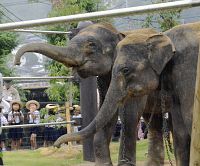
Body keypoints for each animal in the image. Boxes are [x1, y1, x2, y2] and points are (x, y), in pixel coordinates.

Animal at [14, 23, 166, 166]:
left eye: (91, 44)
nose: (17, 62)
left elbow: (129, 114)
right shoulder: (104, 81)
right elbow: (106, 114)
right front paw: (104, 164)